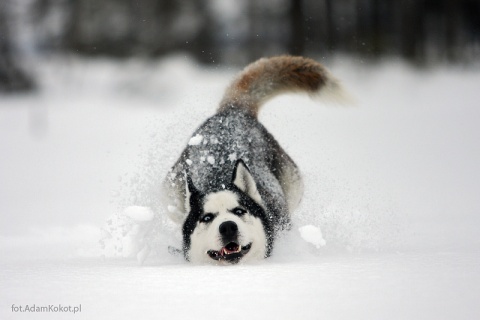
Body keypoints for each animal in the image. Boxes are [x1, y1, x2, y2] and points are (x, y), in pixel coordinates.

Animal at [163, 55, 346, 264]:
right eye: (207, 217)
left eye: (239, 211)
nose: (228, 226)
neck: (219, 179)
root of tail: (233, 112)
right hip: (169, 193)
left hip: (295, 188)